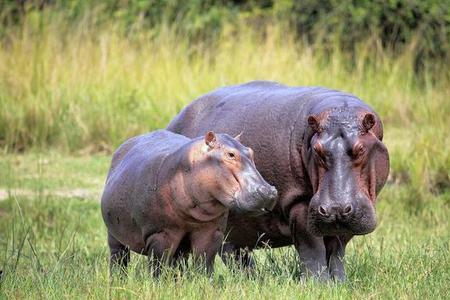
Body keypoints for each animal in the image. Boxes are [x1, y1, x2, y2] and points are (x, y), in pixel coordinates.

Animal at [101, 130, 278, 276]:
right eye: (230, 154)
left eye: (251, 151)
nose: (268, 192)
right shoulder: (159, 234)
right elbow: (157, 267)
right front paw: (157, 286)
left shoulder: (211, 232)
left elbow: (204, 265)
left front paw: (205, 285)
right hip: (114, 236)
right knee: (119, 259)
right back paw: (117, 280)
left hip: (181, 247)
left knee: (178, 263)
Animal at [167, 80, 388, 282]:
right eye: (316, 149)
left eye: (361, 148)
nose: (335, 209)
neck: (339, 109)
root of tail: (174, 120)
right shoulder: (299, 203)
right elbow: (312, 250)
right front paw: (319, 285)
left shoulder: (349, 217)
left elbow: (336, 252)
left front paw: (340, 284)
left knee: (235, 255)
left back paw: (251, 280)